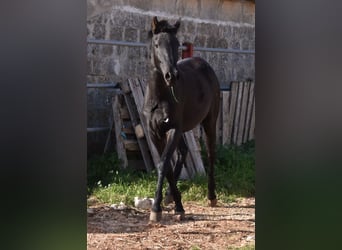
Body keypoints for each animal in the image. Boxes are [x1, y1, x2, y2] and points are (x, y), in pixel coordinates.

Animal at [143, 16, 220, 222]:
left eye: (177, 44)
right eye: (156, 44)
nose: (172, 76)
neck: (159, 97)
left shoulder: (173, 129)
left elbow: (163, 163)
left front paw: (156, 209)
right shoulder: (155, 133)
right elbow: (166, 165)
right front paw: (175, 204)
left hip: (209, 121)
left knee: (210, 154)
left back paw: (211, 196)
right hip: (183, 129)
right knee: (183, 151)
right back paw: (170, 196)